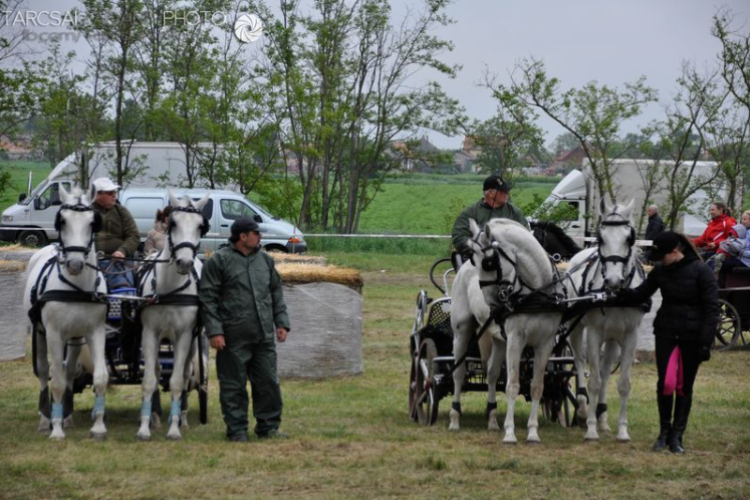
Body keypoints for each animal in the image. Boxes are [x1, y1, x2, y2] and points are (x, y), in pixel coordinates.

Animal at [24, 187, 109, 438]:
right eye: (61, 221)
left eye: (92, 222)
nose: (75, 264)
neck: (76, 288)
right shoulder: (53, 332)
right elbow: (56, 380)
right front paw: (56, 429)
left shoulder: (95, 332)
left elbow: (99, 377)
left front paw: (98, 427)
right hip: (40, 332)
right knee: (45, 371)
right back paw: (46, 417)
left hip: (75, 337)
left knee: (70, 370)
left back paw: (67, 415)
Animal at [137, 191, 209, 442]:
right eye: (174, 223)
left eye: (200, 226)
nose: (185, 262)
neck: (170, 290)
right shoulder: (149, 333)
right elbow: (149, 379)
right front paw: (144, 427)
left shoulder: (184, 335)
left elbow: (178, 381)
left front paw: (175, 429)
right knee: (158, 371)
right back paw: (157, 416)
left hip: (193, 342)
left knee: (187, 375)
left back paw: (182, 417)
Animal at [452, 218, 564, 442]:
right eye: (474, 260)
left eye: (488, 263)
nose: (494, 305)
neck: (536, 294)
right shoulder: (515, 340)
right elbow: (512, 385)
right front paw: (510, 433)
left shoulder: (545, 343)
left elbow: (537, 386)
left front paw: (532, 433)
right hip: (462, 332)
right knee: (459, 373)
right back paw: (455, 418)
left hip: (498, 339)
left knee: (492, 374)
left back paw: (492, 419)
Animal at [568, 199, 648, 442]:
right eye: (601, 238)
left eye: (629, 238)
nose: (613, 280)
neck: (614, 295)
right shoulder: (594, 332)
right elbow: (593, 381)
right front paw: (591, 429)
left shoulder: (630, 335)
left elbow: (623, 384)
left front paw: (622, 430)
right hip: (577, 329)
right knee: (579, 362)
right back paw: (583, 409)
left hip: (612, 338)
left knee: (604, 372)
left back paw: (602, 416)